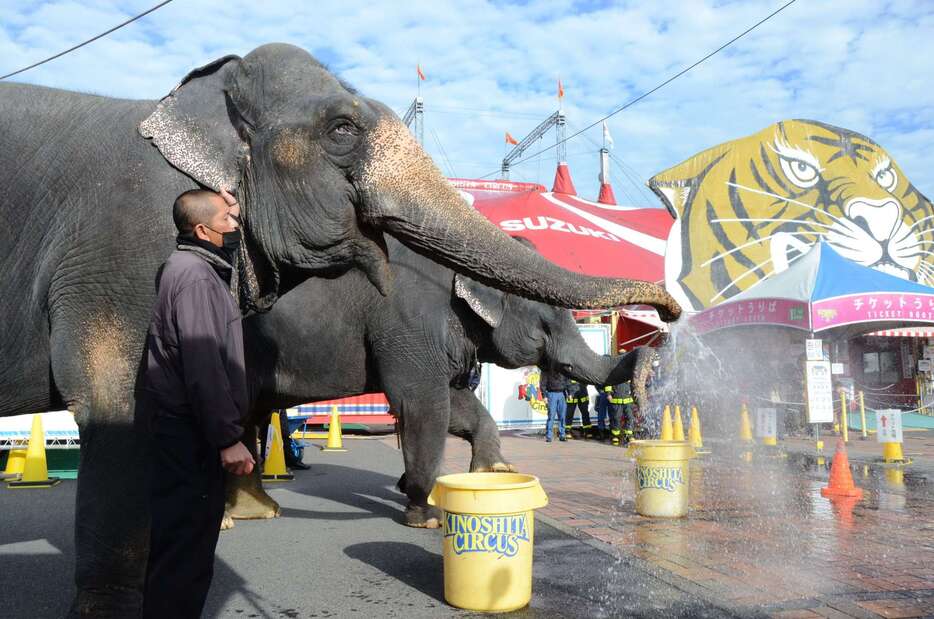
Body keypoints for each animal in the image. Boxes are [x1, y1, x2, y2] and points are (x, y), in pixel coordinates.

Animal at [234, 237, 660, 528]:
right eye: (547, 322)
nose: (659, 338)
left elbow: (458, 403)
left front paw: (494, 473)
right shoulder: (410, 326)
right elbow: (423, 404)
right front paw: (426, 515)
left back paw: (258, 509)